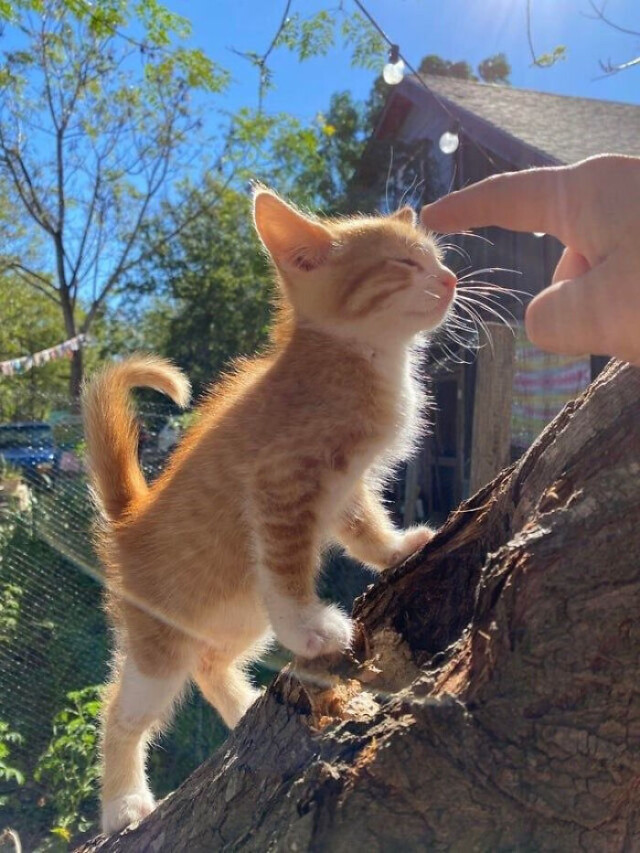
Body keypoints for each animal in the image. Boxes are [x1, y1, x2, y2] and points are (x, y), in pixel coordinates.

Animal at [82, 188, 458, 832]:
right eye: (403, 263)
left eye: (435, 257)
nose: (452, 278)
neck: (362, 358)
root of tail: (129, 519)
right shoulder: (280, 484)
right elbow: (286, 566)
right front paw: (308, 627)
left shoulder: (346, 489)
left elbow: (363, 528)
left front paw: (396, 548)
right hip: (159, 639)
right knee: (123, 710)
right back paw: (122, 802)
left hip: (235, 611)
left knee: (210, 660)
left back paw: (243, 705)